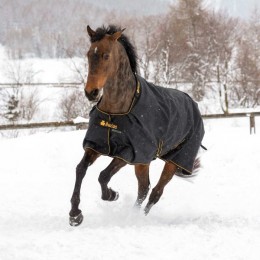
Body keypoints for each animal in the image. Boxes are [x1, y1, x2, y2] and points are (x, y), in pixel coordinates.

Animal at [69, 25, 205, 226]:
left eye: (106, 55)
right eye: (88, 54)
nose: (91, 92)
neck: (116, 111)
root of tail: (193, 104)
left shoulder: (128, 152)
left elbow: (103, 175)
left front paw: (112, 195)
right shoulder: (97, 146)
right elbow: (80, 169)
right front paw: (75, 215)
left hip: (173, 161)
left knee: (155, 192)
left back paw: (136, 218)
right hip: (143, 162)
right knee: (144, 188)